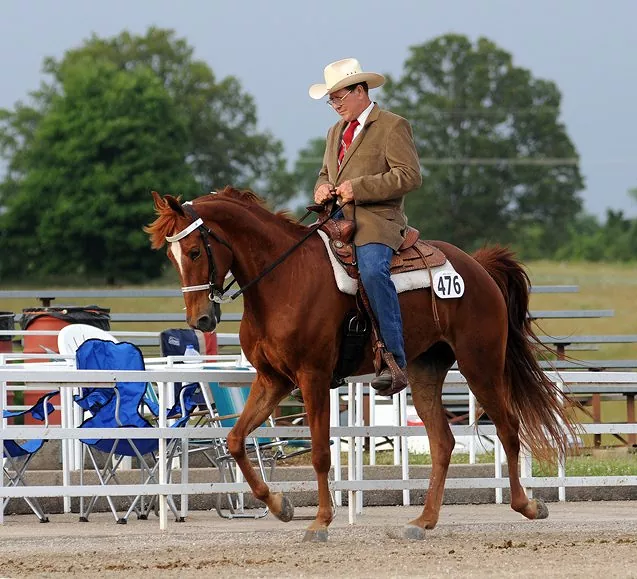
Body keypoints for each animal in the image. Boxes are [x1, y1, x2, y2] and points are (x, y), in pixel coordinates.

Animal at [145, 189, 576, 544]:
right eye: (170, 256)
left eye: (195, 252)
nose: (200, 320)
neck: (284, 279)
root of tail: (478, 267)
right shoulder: (274, 380)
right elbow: (236, 440)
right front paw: (280, 505)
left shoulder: (313, 377)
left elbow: (321, 452)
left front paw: (320, 522)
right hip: (425, 370)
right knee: (443, 442)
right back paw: (423, 521)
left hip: (480, 363)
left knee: (508, 428)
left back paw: (527, 505)